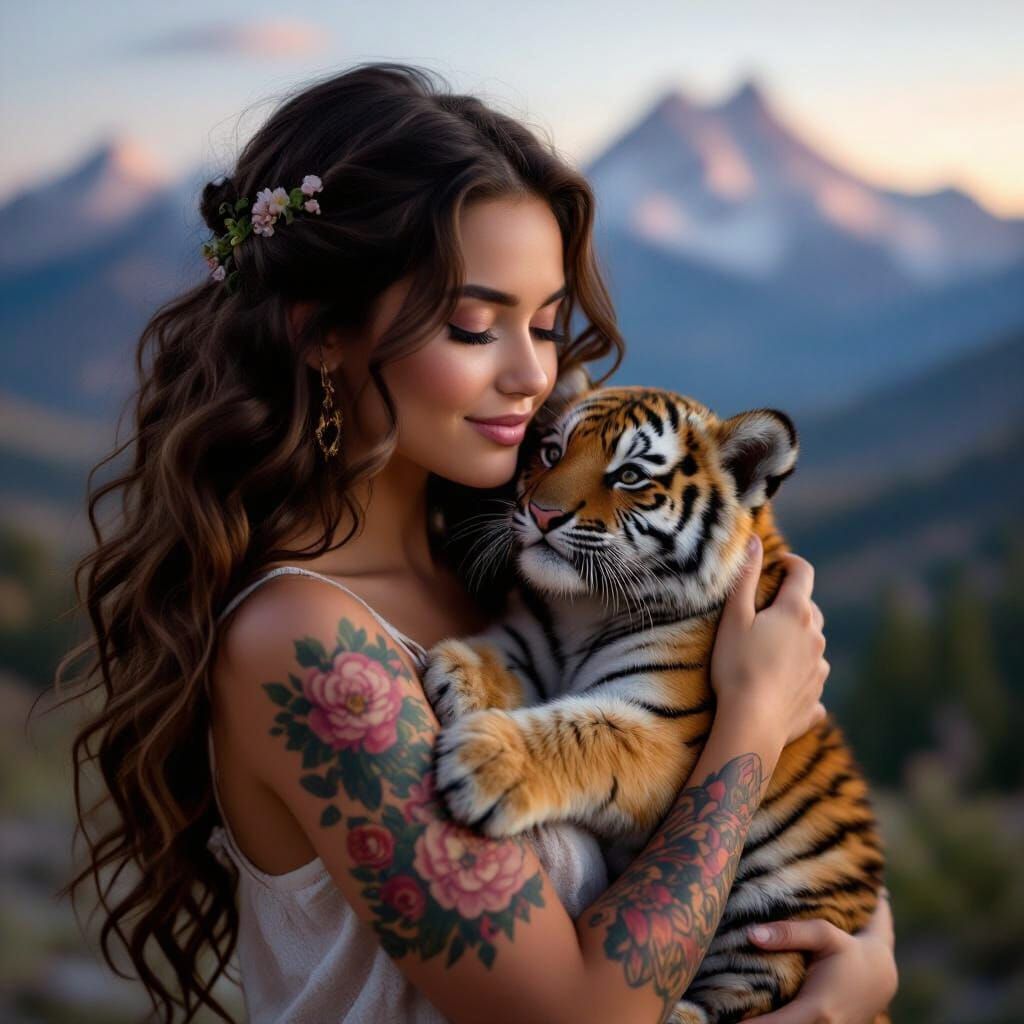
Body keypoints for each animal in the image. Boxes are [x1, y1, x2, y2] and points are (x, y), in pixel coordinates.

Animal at [421, 380, 887, 1024]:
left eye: (630, 475)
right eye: (551, 453)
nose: (541, 513)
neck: (585, 606)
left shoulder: (663, 731)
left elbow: (579, 731)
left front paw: (485, 761)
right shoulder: (535, 640)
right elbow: (511, 653)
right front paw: (458, 671)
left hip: (780, 910)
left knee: (751, 993)